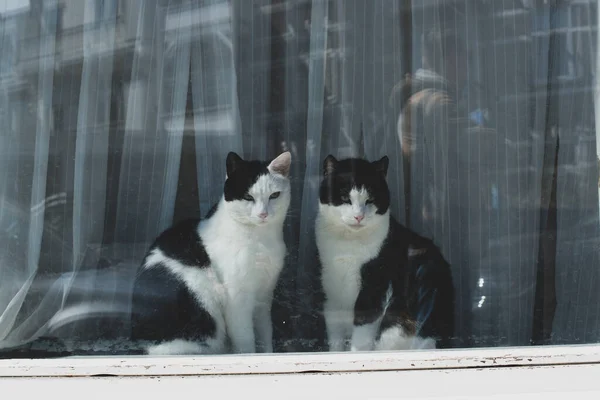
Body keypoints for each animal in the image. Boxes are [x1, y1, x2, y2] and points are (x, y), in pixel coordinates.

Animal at [130, 152, 292, 354]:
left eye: (274, 195)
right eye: (248, 197)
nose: (263, 214)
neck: (262, 239)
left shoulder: (264, 296)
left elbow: (265, 333)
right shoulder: (237, 300)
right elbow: (245, 341)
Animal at [316, 155, 452, 352]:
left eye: (370, 199)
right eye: (345, 198)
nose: (359, 216)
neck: (348, 243)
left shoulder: (374, 289)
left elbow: (362, 333)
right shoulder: (331, 295)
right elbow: (335, 338)